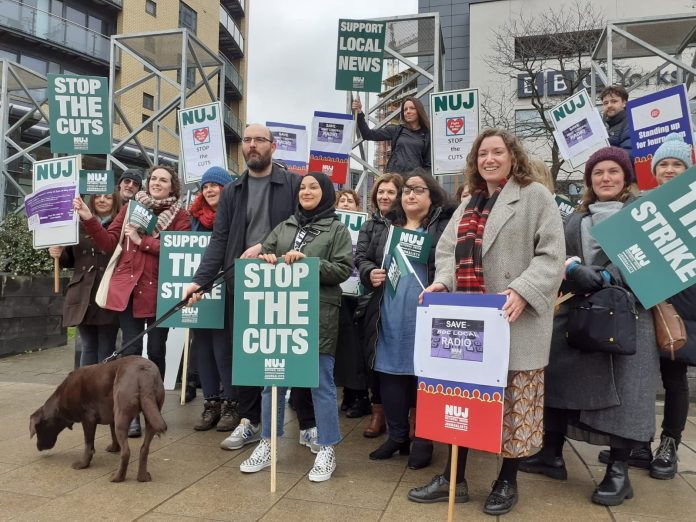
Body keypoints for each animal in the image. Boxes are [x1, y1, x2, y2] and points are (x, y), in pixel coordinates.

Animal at [29, 356, 168, 482]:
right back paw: (142, 477)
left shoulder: (88, 418)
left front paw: (83, 464)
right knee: (144, 448)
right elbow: (112, 434)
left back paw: (117, 478)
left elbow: (88, 445)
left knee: (126, 452)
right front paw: (114, 448)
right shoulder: (112, 417)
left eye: (37, 430)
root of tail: (143, 373)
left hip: (122, 414)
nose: (38, 447)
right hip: (152, 414)